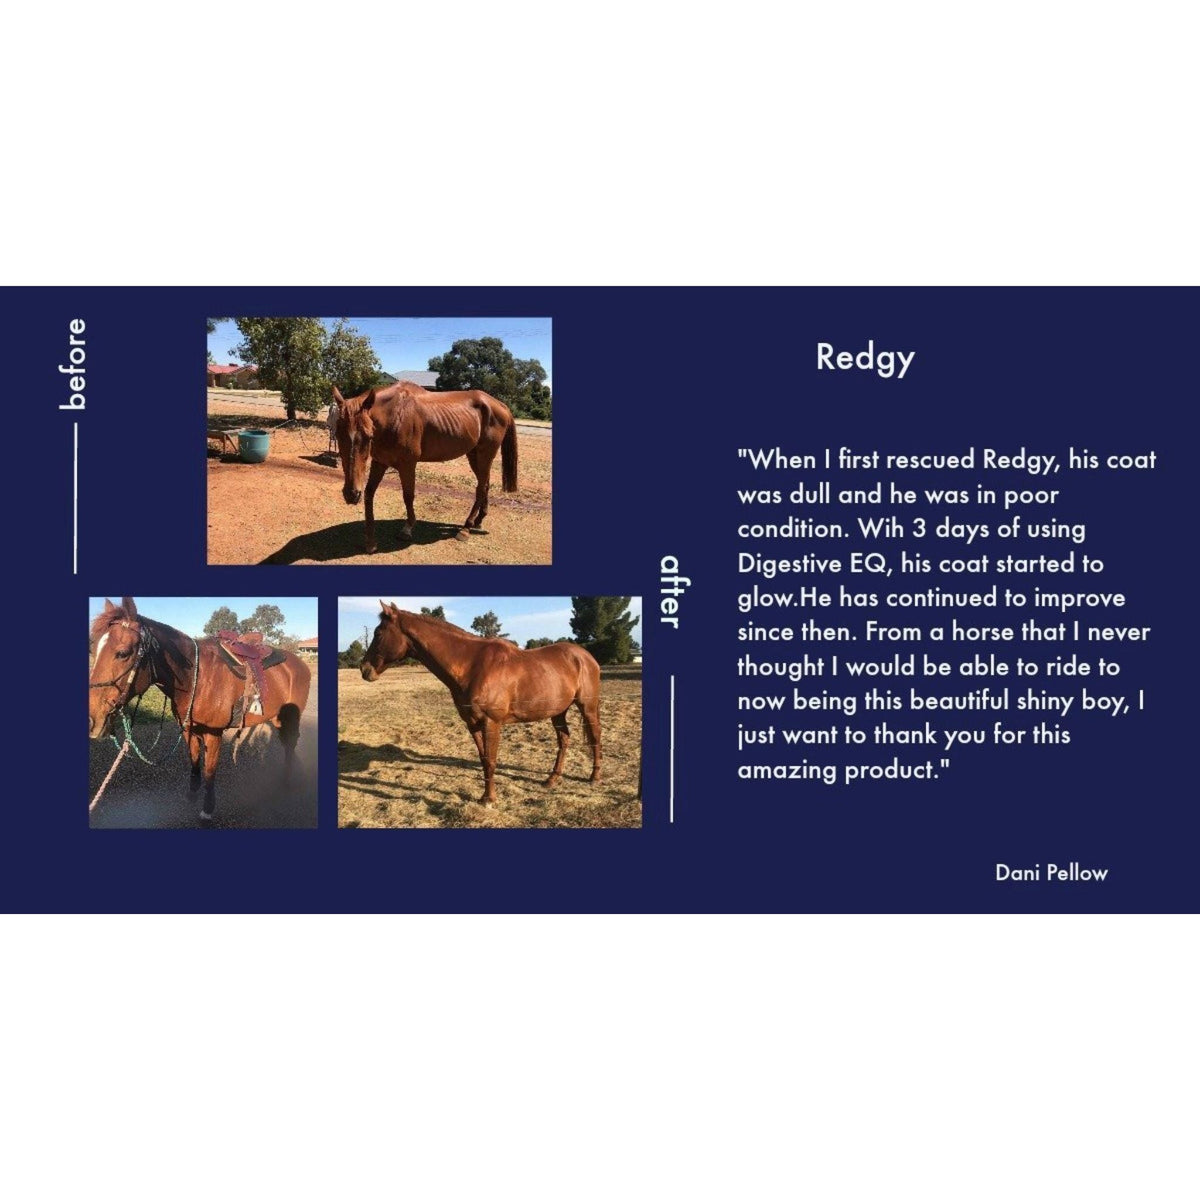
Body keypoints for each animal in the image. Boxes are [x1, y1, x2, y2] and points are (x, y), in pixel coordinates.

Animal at [88, 597, 311, 822]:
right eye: (93, 650)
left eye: (123, 653)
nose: (92, 720)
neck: (197, 678)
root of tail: (300, 664)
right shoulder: (189, 729)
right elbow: (195, 763)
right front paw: (192, 794)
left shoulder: (213, 734)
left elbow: (210, 772)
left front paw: (208, 808)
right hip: (276, 718)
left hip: (291, 718)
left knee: (291, 744)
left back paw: (286, 779)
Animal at [332, 381, 518, 553]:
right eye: (338, 434)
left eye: (368, 436)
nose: (351, 494)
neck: (395, 413)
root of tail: (501, 405)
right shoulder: (380, 462)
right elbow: (369, 494)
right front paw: (371, 542)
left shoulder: (407, 464)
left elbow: (408, 496)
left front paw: (407, 529)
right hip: (474, 455)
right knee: (484, 485)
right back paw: (478, 521)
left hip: (485, 455)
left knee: (480, 489)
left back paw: (466, 528)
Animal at [360, 604, 601, 804]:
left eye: (378, 633)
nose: (364, 669)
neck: (472, 665)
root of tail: (586, 657)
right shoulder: (472, 723)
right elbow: (484, 758)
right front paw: (486, 796)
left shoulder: (490, 722)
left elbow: (491, 760)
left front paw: (489, 800)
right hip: (558, 711)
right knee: (564, 739)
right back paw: (552, 778)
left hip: (587, 707)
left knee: (595, 736)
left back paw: (594, 777)